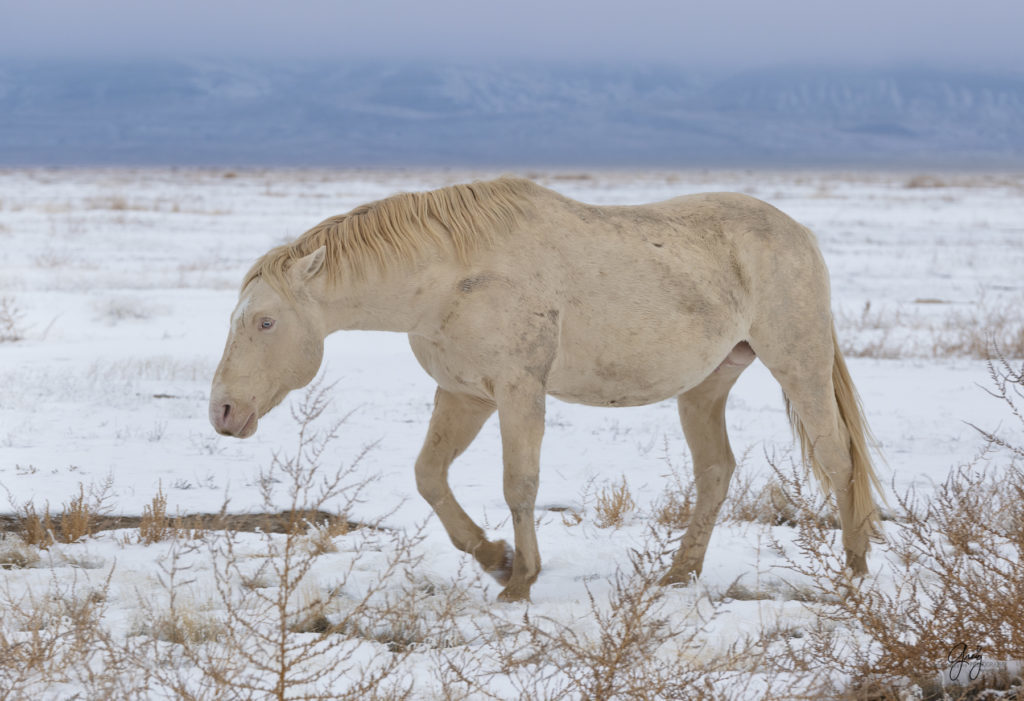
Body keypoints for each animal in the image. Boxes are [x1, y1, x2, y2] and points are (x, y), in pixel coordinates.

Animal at [207, 176, 880, 601]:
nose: (224, 411)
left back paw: (854, 569)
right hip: (705, 388)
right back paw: (678, 576)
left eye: (264, 322)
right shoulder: (464, 396)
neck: (452, 277)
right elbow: (430, 477)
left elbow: (519, 484)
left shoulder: (517, 392)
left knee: (837, 459)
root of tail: (798, 232)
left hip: (798, 365)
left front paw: (521, 580)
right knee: (716, 471)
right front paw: (495, 558)